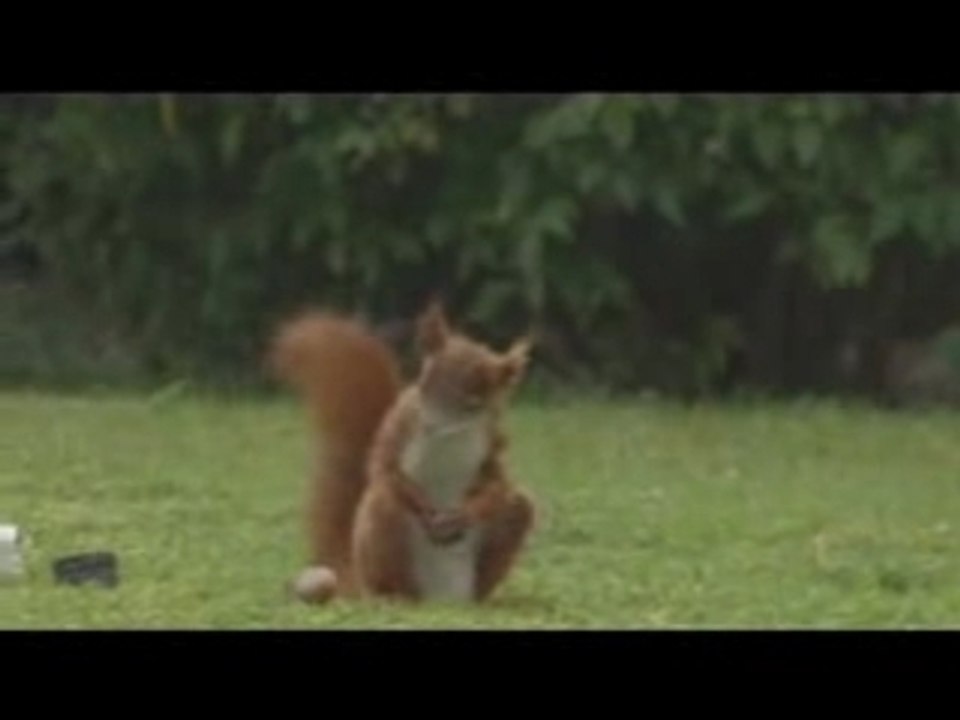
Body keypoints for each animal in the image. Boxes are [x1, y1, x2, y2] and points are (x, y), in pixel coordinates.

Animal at [269, 300, 536, 603]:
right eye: (423, 383)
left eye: (474, 403)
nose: (431, 425)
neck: (450, 436)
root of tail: (439, 600)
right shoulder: (402, 423)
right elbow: (383, 466)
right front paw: (424, 507)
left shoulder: (493, 438)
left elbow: (498, 481)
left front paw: (462, 515)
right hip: (384, 527)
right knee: (388, 516)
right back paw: (392, 596)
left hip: (510, 523)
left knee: (515, 508)